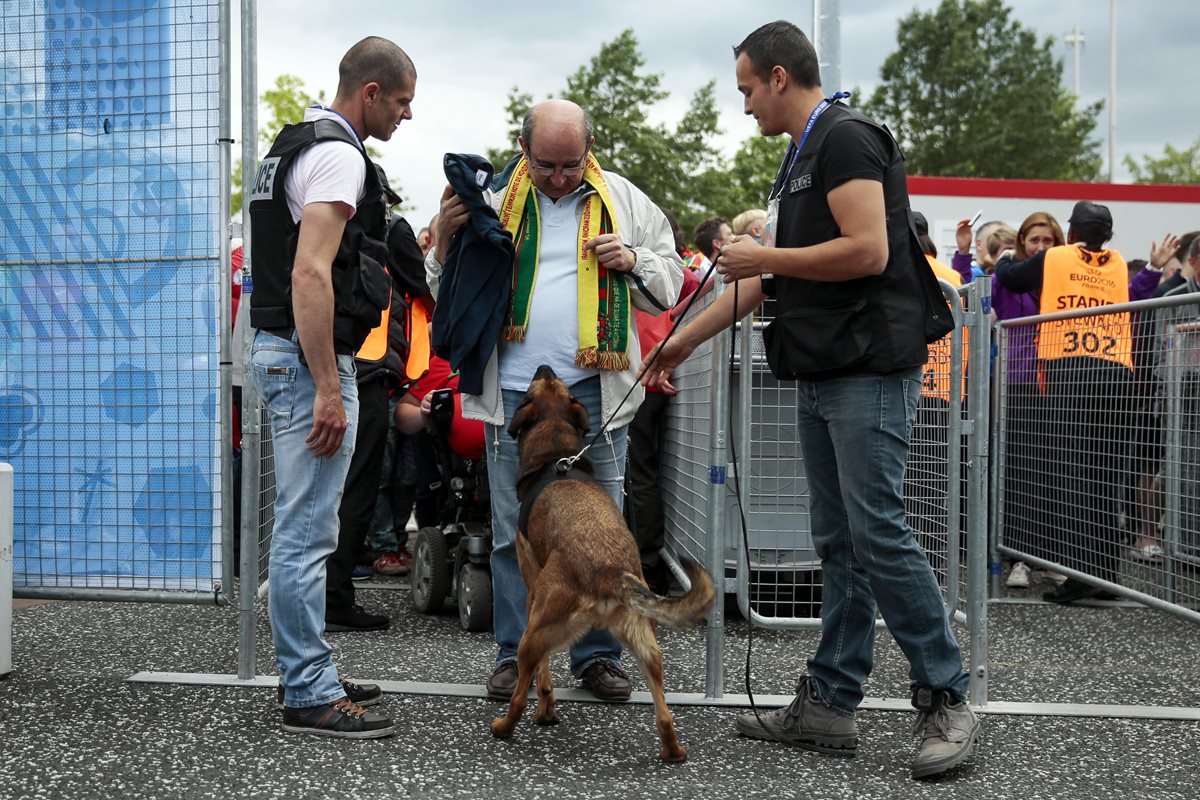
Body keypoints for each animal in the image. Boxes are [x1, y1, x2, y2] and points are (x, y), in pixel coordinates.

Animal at [492, 367, 715, 762]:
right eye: (557, 386)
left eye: (532, 390)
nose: (545, 367)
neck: (556, 457)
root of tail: (608, 571)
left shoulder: (531, 593)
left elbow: (543, 680)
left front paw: (545, 710)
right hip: (647, 647)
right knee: (665, 714)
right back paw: (672, 751)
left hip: (533, 634)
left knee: (519, 695)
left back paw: (503, 727)